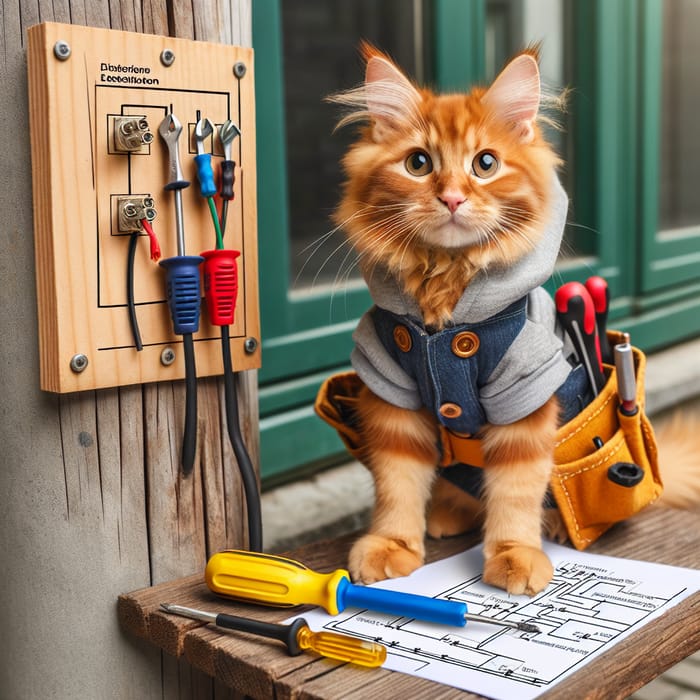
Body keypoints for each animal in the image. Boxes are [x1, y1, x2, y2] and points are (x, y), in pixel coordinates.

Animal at [328, 46, 700, 596]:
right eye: (419, 163)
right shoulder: (391, 385)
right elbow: (397, 485)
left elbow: (515, 494)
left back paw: (550, 525)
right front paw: (393, 544)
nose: (452, 197)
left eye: (485, 164)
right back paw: (447, 512)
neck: (446, 294)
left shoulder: (523, 392)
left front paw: (514, 554)